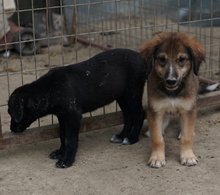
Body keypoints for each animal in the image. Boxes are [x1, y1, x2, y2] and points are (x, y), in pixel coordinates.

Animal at [8, 48, 146, 168]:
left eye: (10, 113)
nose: (11, 128)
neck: (49, 89)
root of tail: (140, 56)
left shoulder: (73, 116)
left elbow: (70, 139)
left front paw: (67, 160)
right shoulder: (62, 116)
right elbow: (62, 135)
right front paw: (60, 152)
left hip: (133, 92)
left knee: (139, 115)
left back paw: (132, 138)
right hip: (122, 95)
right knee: (128, 117)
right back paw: (121, 136)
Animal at [141, 32, 205, 168]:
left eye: (181, 59)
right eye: (162, 59)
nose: (171, 80)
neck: (173, 92)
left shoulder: (188, 109)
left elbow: (186, 137)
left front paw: (188, 156)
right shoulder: (155, 109)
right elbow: (157, 138)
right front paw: (157, 158)